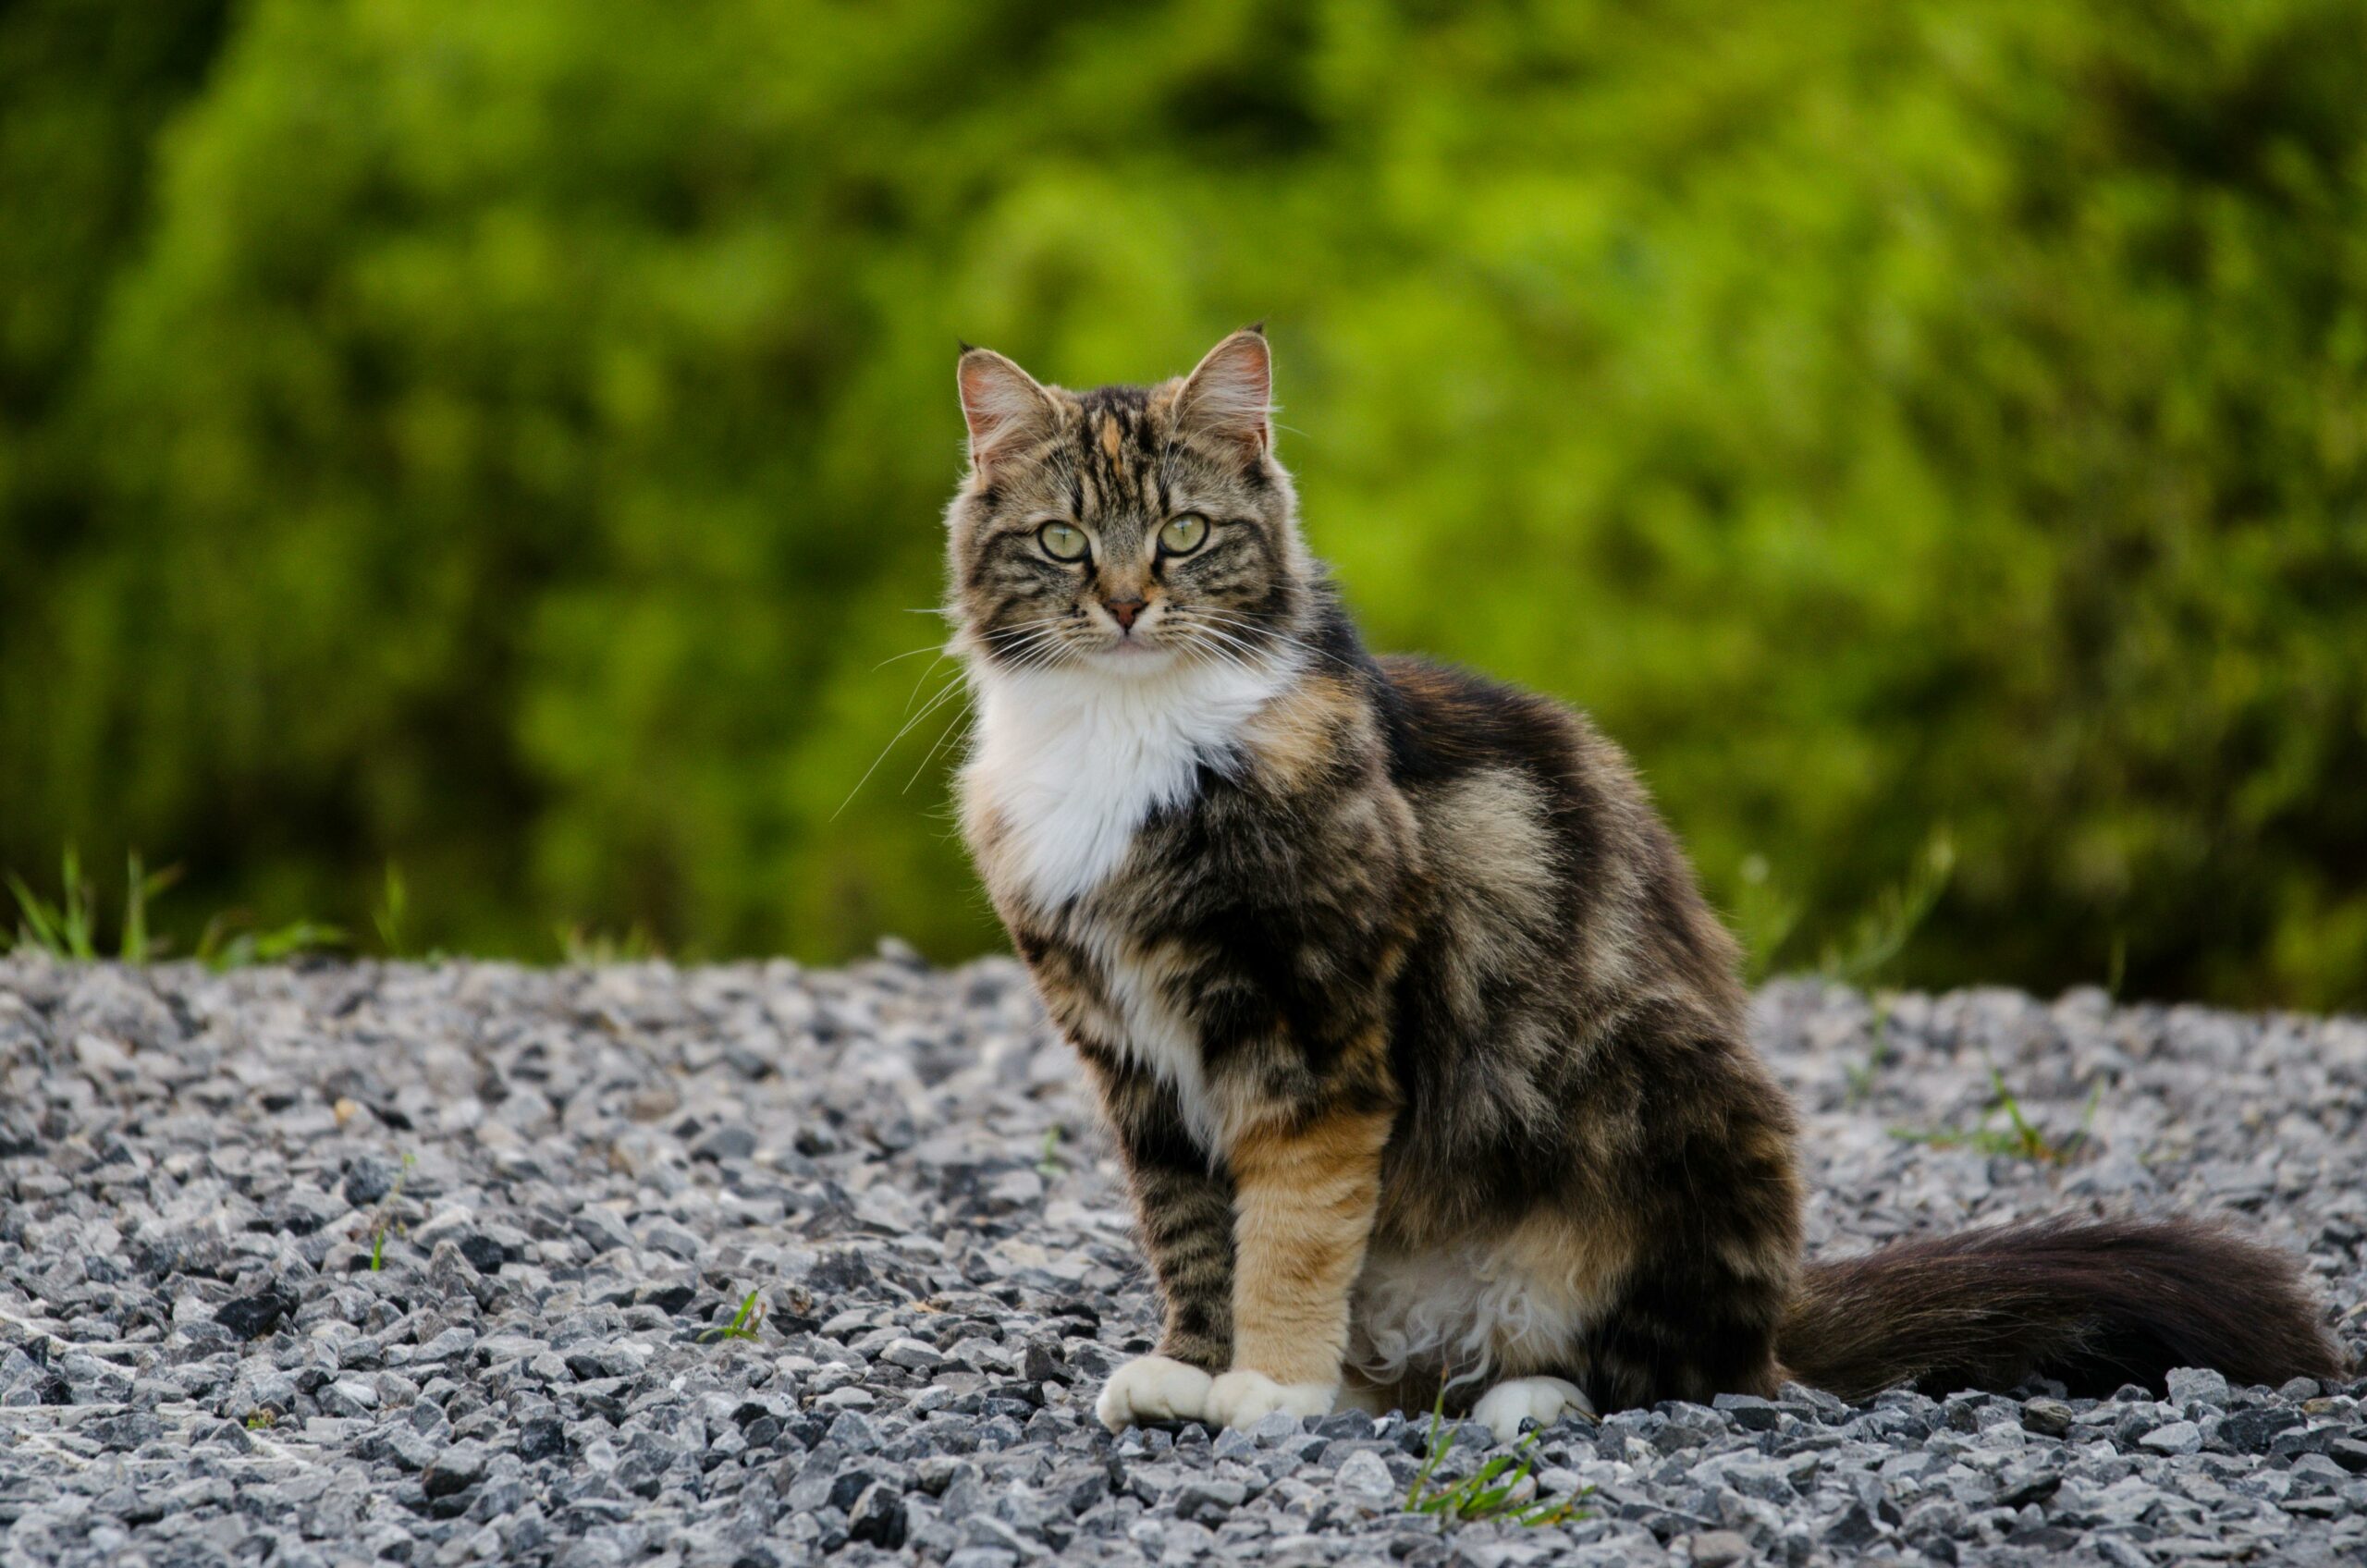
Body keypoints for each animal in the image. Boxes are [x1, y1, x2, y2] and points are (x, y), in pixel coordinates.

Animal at [941, 329, 2348, 1439]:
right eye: (1065, 542)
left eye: (1183, 536)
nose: (1128, 605)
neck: (1125, 741)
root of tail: (1782, 1315)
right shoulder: (1135, 1057)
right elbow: (1193, 1234)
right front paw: (1194, 1370)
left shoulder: (1311, 1029)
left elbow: (1288, 1229)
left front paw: (1272, 1388)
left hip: (1665, 1092)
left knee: (1670, 1371)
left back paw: (1523, 1394)